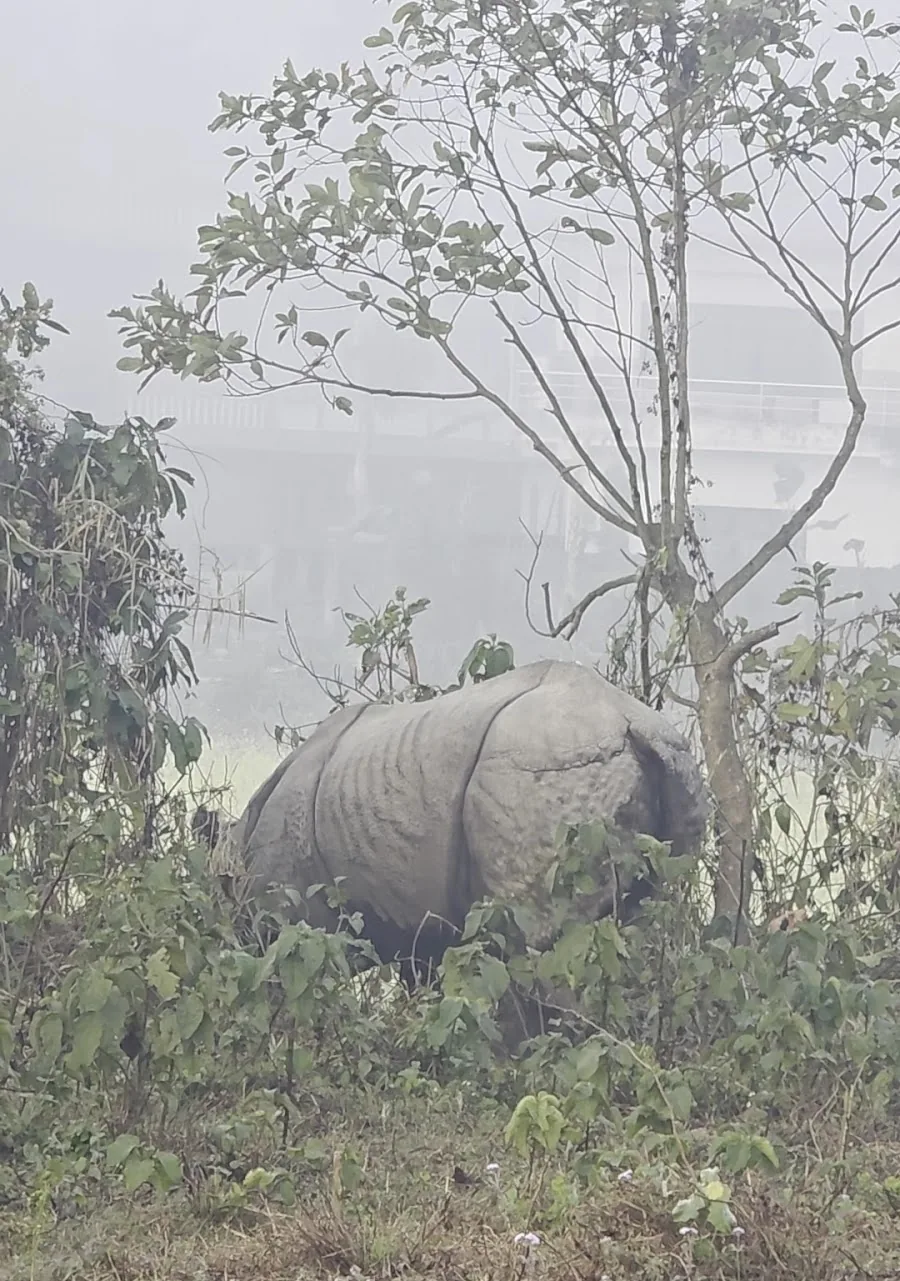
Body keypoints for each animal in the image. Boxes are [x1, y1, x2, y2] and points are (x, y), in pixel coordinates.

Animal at [199, 660, 708, 1001]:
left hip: (546, 771)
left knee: (539, 943)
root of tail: (635, 726)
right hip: (674, 769)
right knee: (637, 918)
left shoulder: (294, 916)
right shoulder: (417, 928)